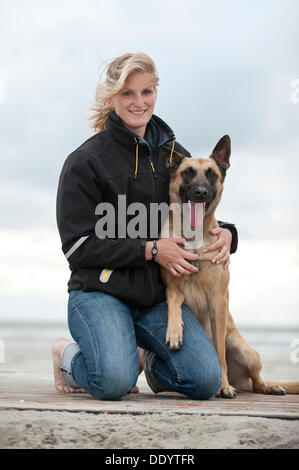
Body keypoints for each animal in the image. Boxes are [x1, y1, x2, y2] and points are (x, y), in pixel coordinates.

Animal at [163, 136, 299, 396]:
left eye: (211, 174)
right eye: (187, 172)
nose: (200, 192)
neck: (194, 239)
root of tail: (242, 381)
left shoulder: (217, 299)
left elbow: (218, 353)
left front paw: (223, 386)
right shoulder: (173, 287)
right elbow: (173, 304)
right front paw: (174, 331)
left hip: (243, 349)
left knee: (256, 380)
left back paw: (266, 386)